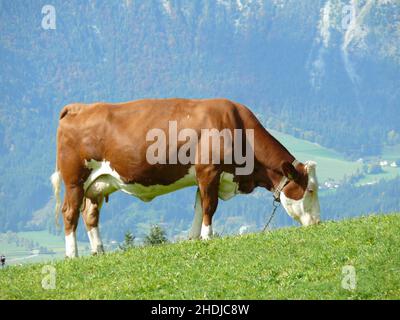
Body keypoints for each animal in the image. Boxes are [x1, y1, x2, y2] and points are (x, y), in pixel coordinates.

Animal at [50, 97, 322, 258]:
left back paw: (99, 251)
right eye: (310, 190)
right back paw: (72, 255)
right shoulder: (209, 171)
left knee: (90, 214)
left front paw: (193, 238)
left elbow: (199, 206)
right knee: (70, 213)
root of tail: (79, 107)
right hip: (74, 179)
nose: (318, 223)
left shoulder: (206, 177)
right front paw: (208, 236)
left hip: (97, 183)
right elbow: (210, 206)